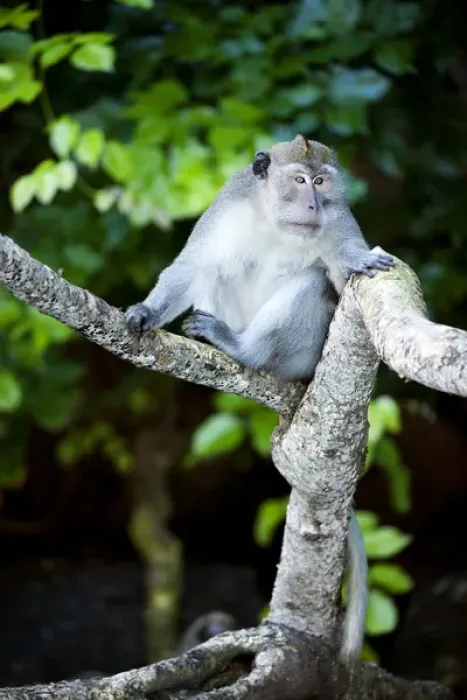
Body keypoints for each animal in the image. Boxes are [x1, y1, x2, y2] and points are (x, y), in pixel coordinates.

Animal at [124, 134, 395, 662]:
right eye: (300, 179)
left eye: (322, 182)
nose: (313, 204)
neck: (276, 221)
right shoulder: (228, 206)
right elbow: (192, 266)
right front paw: (146, 311)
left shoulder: (339, 220)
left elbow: (341, 276)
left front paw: (352, 264)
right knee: (216, 274)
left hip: (304, 354)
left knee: (311, 283)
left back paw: (246, 351)